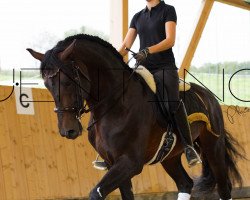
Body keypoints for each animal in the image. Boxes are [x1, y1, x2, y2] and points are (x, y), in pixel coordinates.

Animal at [26, 33, 244, 199]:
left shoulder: (130, 163)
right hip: (170, 156)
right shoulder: (114, 164)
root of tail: (209, 97)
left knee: (224, 187)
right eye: (47, 85)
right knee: (185, 183)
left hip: (213, 147)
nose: (68, 130)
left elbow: (96, 193)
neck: (115, 104)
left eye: (68, 82)